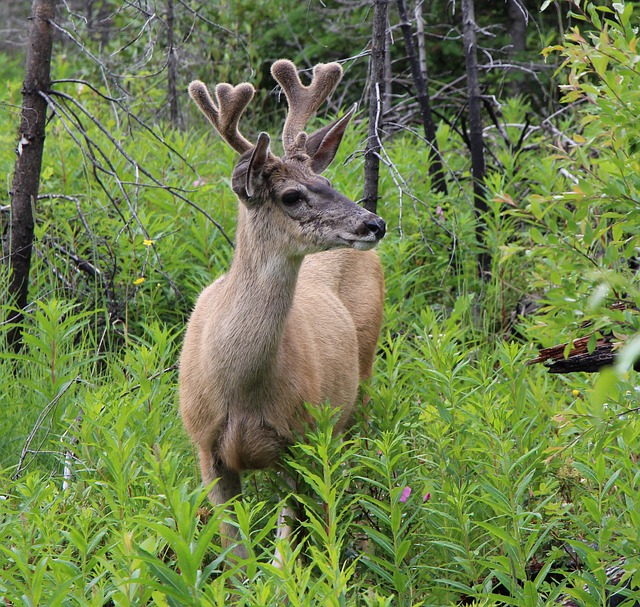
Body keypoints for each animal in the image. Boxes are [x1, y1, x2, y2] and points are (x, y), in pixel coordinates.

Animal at [178, 59, 384, 568]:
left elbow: (285, 545)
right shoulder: (205, 447)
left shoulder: (303, 437)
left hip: (363, 374)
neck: (240, 387)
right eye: (291, 195)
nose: (374, 222)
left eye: (327, 183)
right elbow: (237, 557)